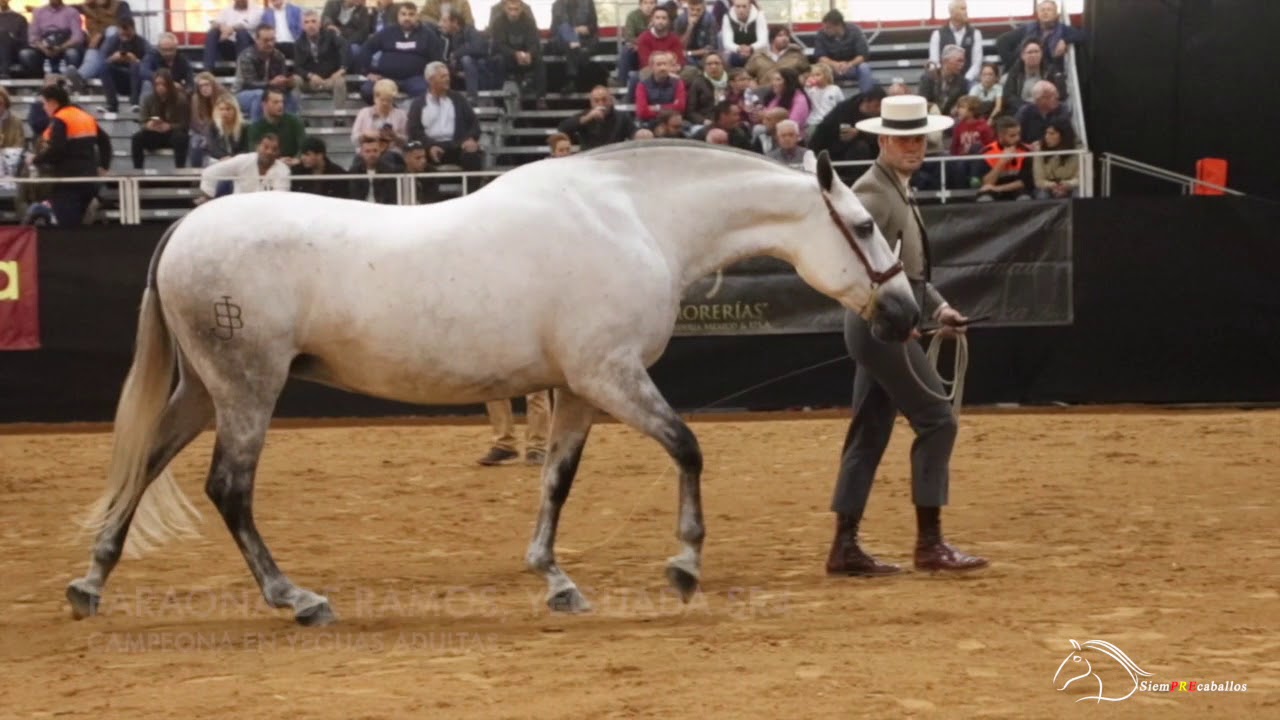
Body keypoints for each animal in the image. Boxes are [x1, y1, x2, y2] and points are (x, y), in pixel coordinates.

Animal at [65, 140, 920, 626]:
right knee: (229, 490)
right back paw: (297, 599)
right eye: (866, 227)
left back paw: (91, 583)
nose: (908, 313)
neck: (632, 218)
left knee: (143, 464)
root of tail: (187, 225)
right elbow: (687, 449)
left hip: (204, 392)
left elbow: (557, 481)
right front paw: (683, 566)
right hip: (247, 390)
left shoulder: (577, 390)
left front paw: (556, 581)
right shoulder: (612, 375)